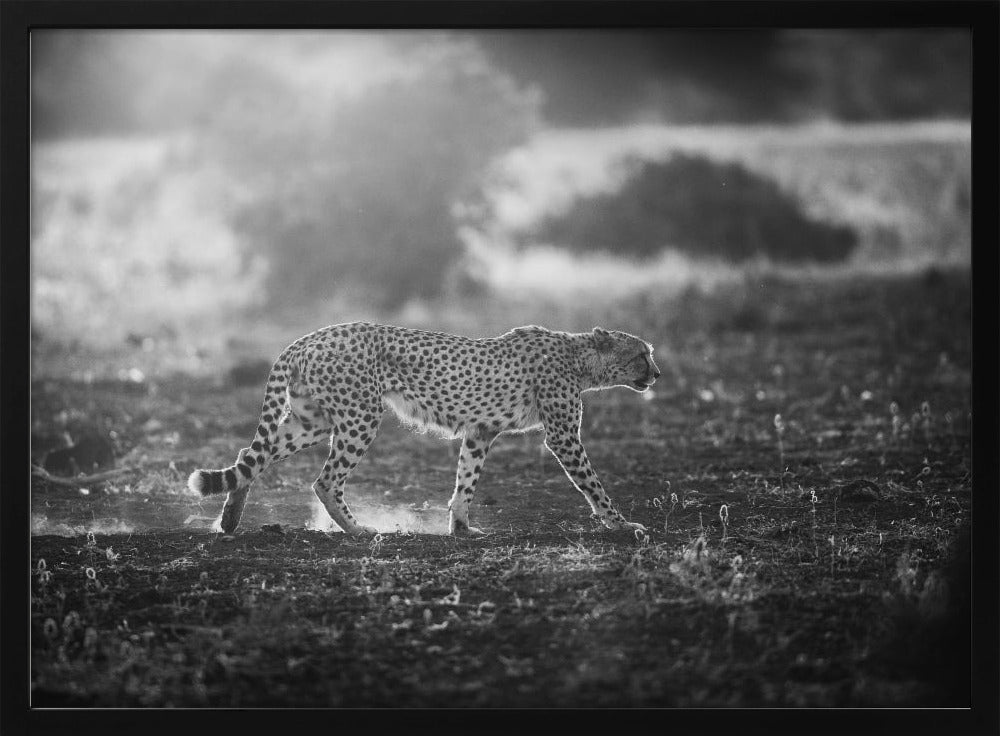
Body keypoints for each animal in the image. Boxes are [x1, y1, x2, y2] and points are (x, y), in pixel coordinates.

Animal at [188, 322, 660, 537]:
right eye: (641, 355)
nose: (656, 374)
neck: (581, 358)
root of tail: (308, 337)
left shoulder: (480, 432)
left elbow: (466, 481)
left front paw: (462, 528)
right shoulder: (562, 436)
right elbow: (593, 483)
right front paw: (622, 524)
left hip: (312, 420)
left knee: (251, 457)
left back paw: (229, 519)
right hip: (360, 416)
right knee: (325, 480)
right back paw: (358, 530)